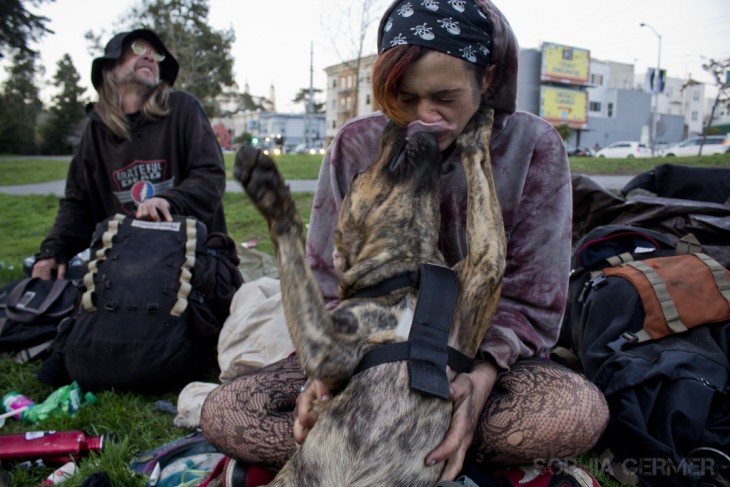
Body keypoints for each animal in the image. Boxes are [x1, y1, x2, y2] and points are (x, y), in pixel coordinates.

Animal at [236, 107, 504, 487]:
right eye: (360, 173)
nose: (393, 121)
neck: (406, 274)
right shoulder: (328, 349)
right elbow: (291, 243)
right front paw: (268, 189)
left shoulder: (485, 263)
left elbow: (481, 176)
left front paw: (477, 127)